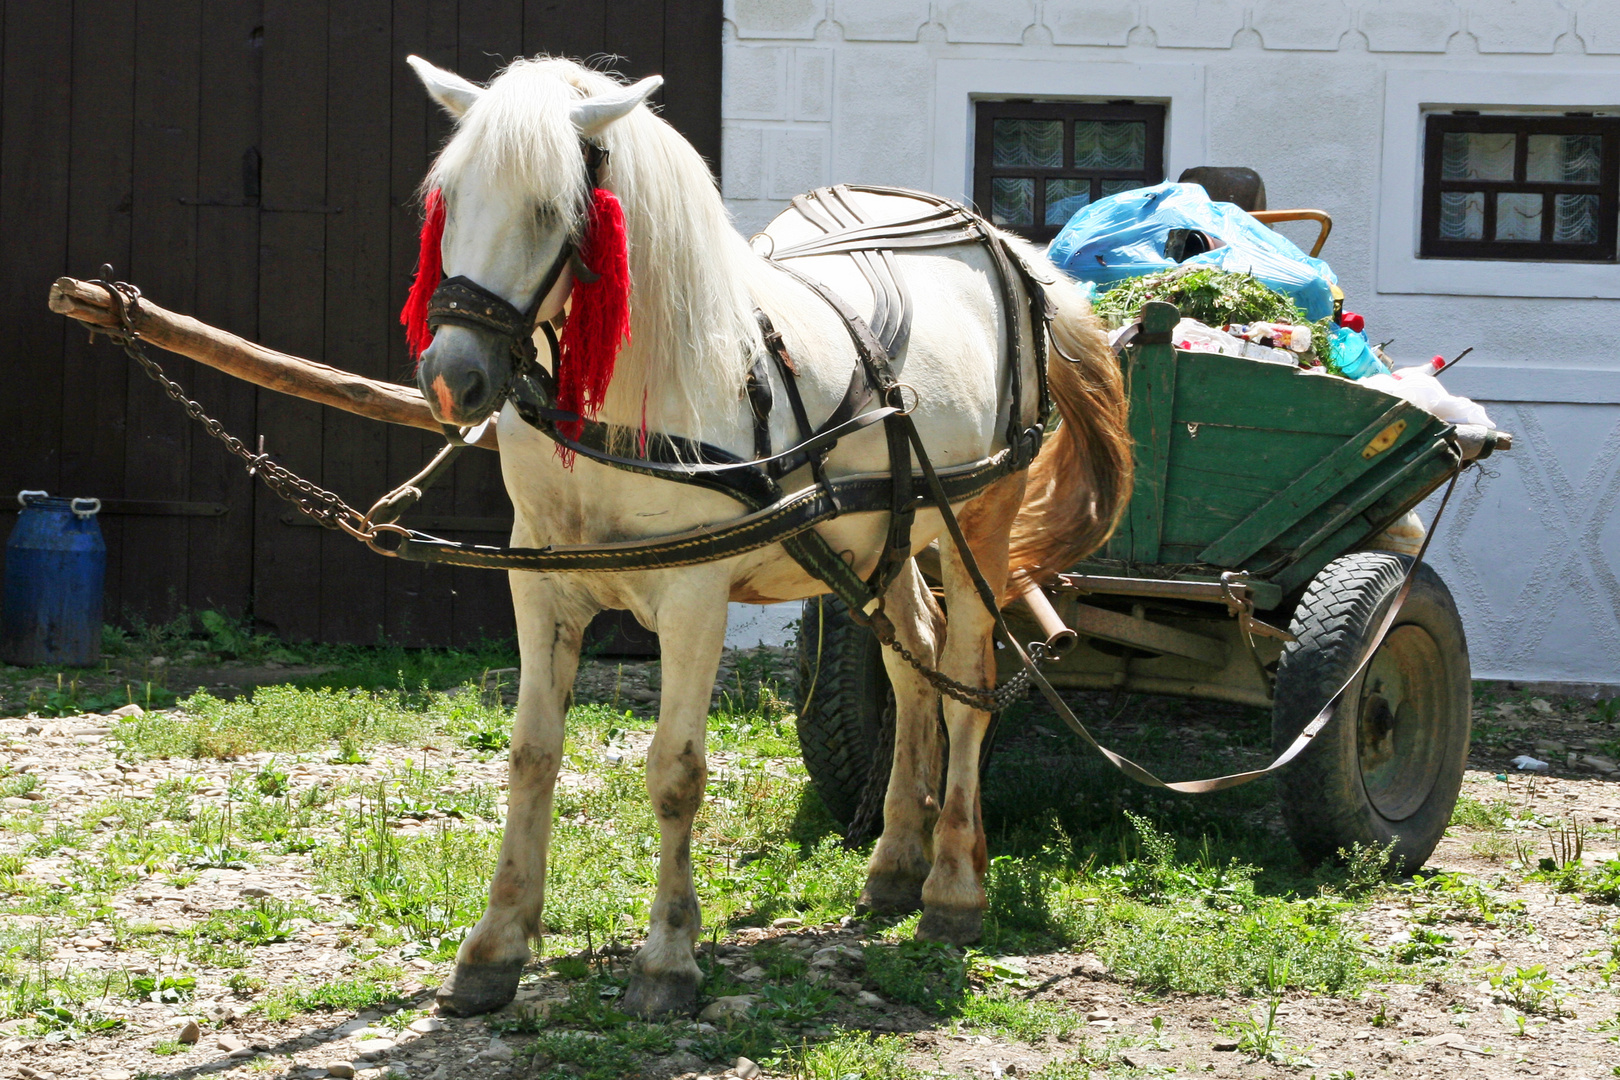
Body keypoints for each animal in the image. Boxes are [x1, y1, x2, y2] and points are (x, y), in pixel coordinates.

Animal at [411, 57, 1134, 1023]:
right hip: (886, 535)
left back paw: (952, 888)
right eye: (449, 199)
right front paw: (495, 946)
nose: (451, 377)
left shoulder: (693, 595)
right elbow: (532, 755)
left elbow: (674, 771)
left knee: (967, 687)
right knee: (915, 663)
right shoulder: (542, 581)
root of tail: (1015, 254)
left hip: (978, 519)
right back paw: (896, 861)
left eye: (548, 208)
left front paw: (667, 959)